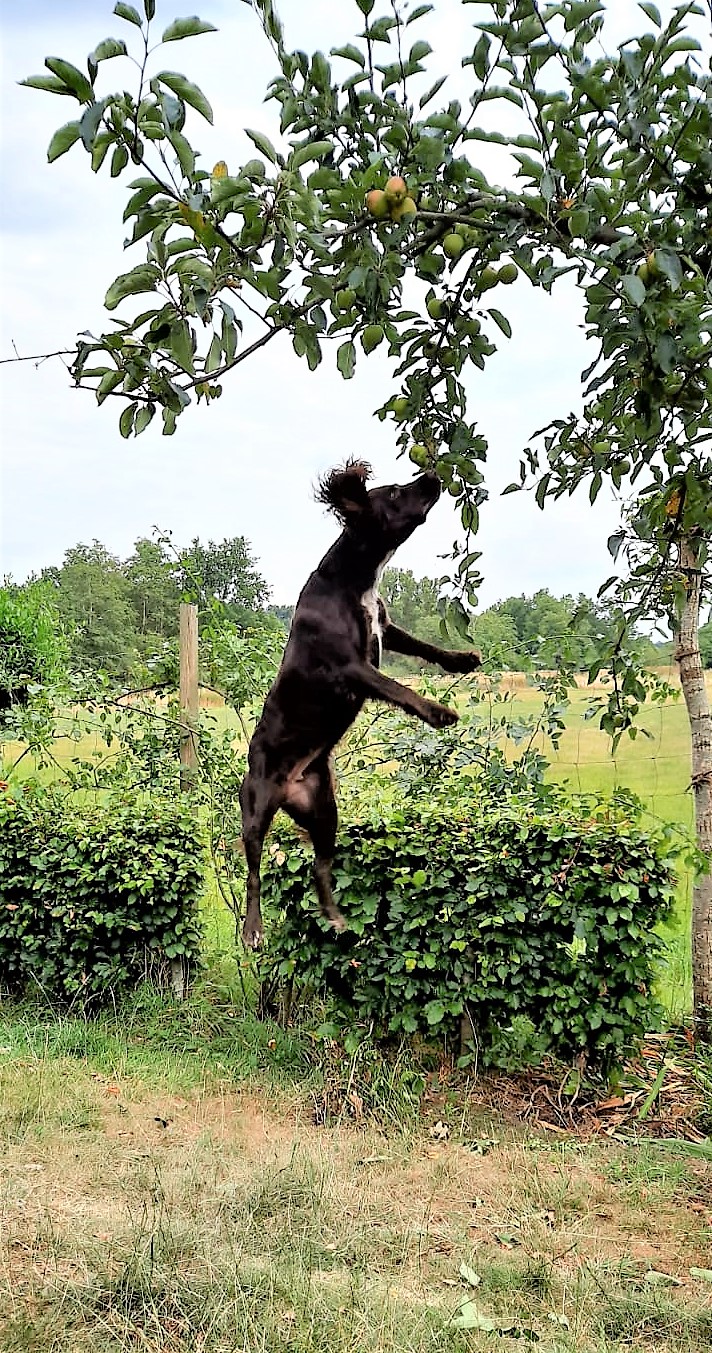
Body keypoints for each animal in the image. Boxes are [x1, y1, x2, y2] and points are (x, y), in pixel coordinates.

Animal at [242, 460, 481, 947]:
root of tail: (291, 786)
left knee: (319, 868)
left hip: (325, 811)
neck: (356, 579)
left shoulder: (384, 629)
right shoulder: (349, 666)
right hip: (256, 810)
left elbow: (425, 647)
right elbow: (398, 688)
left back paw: (334, 917)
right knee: (253, 874)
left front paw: (461, 660)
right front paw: (438, 713)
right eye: (394, 493)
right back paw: (253, 929)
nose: (433, 476)